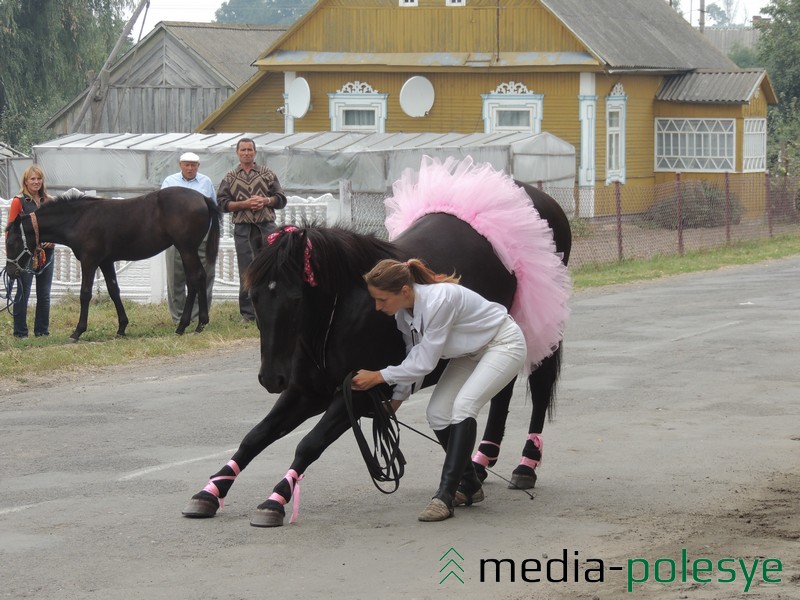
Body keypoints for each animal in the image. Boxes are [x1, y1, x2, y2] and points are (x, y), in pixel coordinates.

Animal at [5, 188, 222, 340]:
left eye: (12, 243)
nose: (10, 271)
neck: (79, 219)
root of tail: (202, 198)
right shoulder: (106, 262)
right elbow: (113, 291)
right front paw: (122, 328)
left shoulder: (90, 261)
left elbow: (85, 294)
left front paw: (77, 332)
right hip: (186, 250)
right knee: (195, 280)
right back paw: (193, 324)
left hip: (186, 248)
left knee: (195, 278)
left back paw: (191, 325)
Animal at [181, 180, 568, 528]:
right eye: (255, 295)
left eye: (294, 297)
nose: (271, 377)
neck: (339, 312)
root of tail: (538, 196)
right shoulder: (307, 392)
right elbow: (256, 437)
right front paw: (209, 492)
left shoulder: (358, 395)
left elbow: (308, 444)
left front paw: (275, 499)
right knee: (500, 392)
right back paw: (480, 462)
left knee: (538, 387)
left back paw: (524, 466)